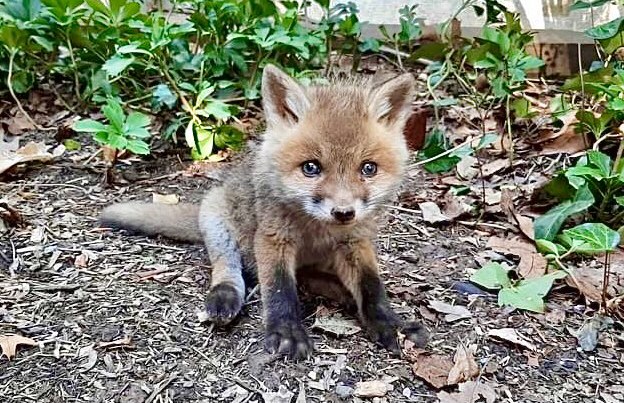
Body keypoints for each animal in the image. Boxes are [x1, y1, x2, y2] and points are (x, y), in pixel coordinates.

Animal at [100, 64, 429, 360]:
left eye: (368, 169)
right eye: (311, 168)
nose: (344, 213)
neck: (317, 230)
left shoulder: (355, 242)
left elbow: (372, 288)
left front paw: (391, 324)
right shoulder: (272, 238)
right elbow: (280, 289)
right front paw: (286, 333)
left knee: (309, 277)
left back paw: (341, 293)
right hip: (218, 225)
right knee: (230, 269)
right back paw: (226, 295)